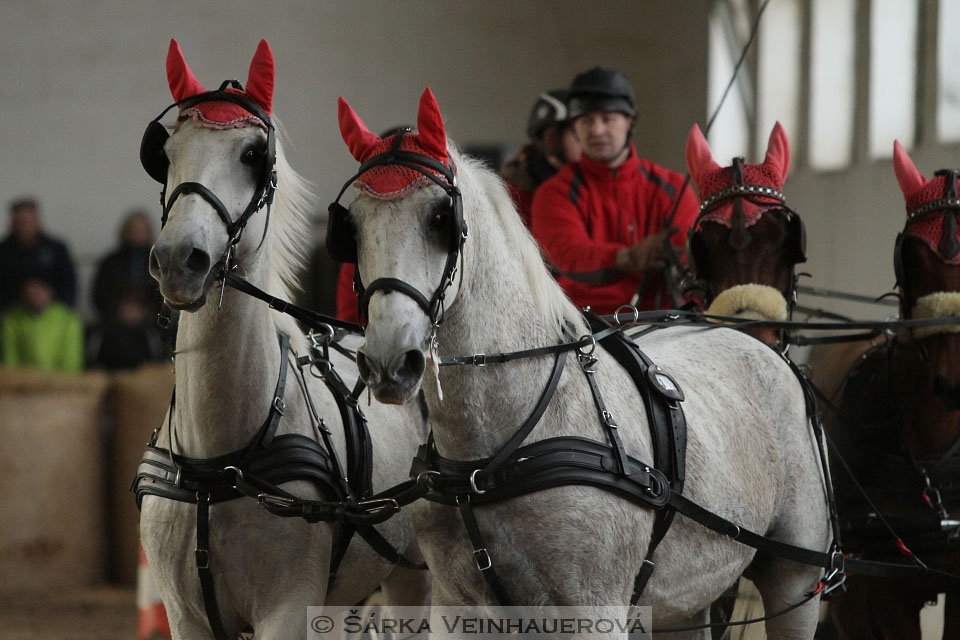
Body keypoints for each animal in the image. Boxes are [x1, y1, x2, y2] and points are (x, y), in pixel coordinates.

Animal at [138, 41, 428, 640]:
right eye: (166, 153)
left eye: (253, 154)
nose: (179, 259)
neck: (220, 464)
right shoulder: (185, 614)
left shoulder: (288, 606)